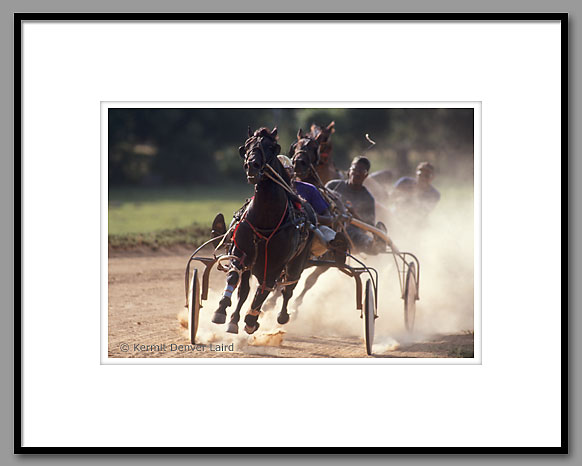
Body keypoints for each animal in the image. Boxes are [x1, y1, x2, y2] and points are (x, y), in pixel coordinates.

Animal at [212, 125, 318, 334]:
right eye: (246, 146)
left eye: (271, 147)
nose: (251, 165)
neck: (266, 218)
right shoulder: (241, 250)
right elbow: (233, 276)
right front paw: (221, 310)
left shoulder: (275, 264)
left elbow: (265, 289)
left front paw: (252, 320)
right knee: (245, 290)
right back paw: (234, 319)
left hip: (296, 264)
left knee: (287, 289)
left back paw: (280, 316)